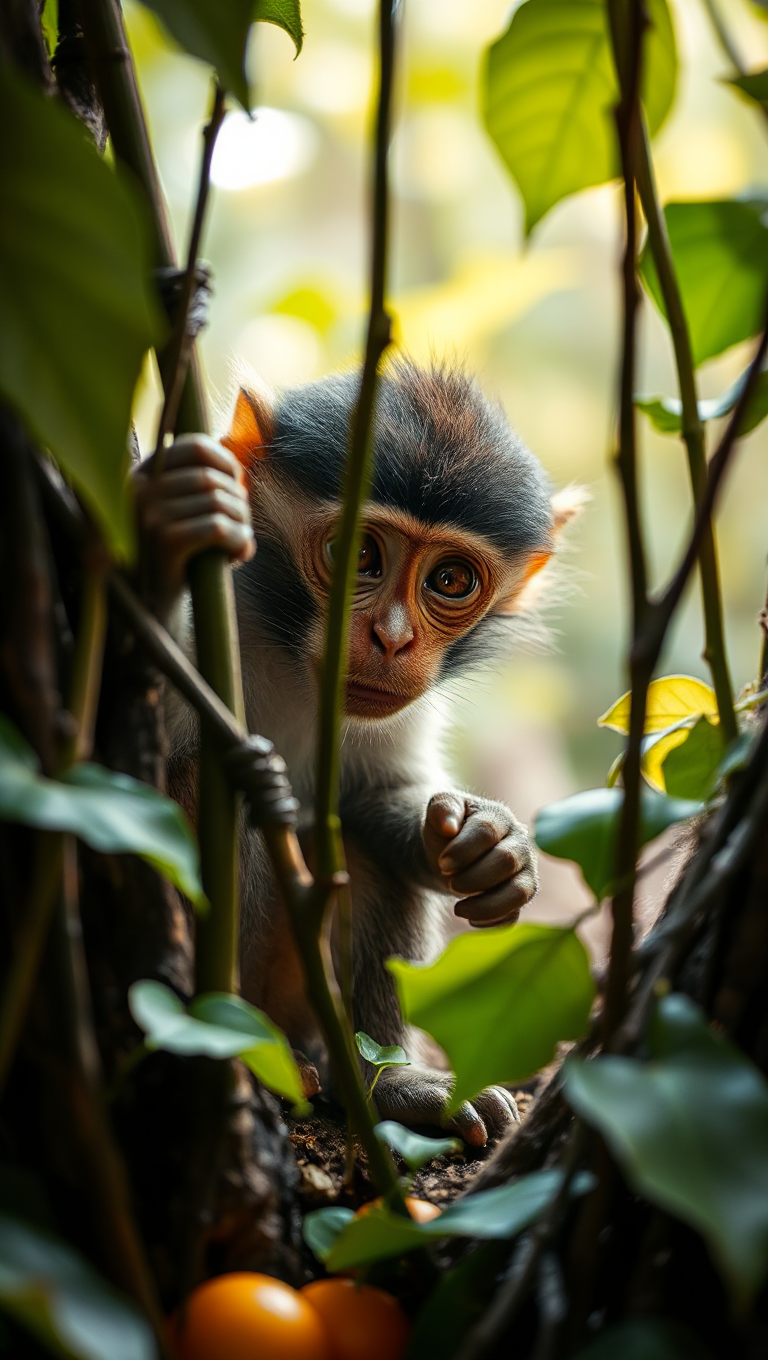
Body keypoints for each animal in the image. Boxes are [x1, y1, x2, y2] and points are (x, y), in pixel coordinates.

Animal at [133, 361, 576, 1147]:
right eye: (357, 555)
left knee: (357, 840)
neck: (283, 652)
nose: (392, 639)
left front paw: (492, 847)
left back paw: (388, 1084)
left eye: (450, 580)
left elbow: (378, 803)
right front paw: (165, 534)